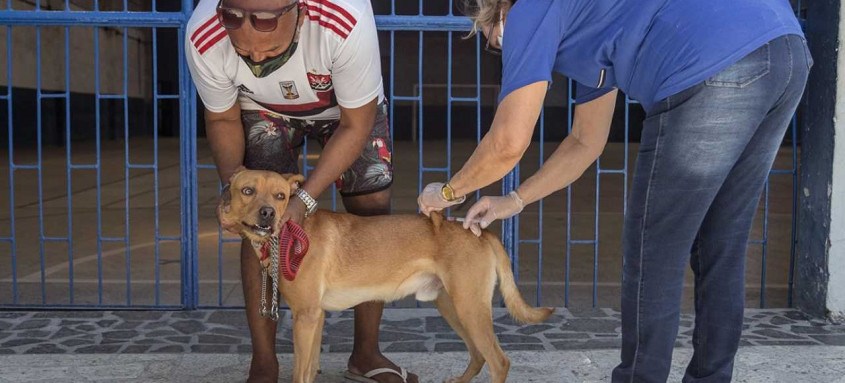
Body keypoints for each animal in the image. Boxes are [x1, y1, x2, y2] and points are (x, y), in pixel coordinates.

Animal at [221, 170, 556, 383]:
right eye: (247, 191)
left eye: (280, 196)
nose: (268, 213)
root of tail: (479, 230)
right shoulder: (315, 316)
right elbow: (310, 367)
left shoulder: (306, 316)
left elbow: (300, 374)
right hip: (453, 307)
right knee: (478, 355)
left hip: (469, 307)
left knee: (498, 361)